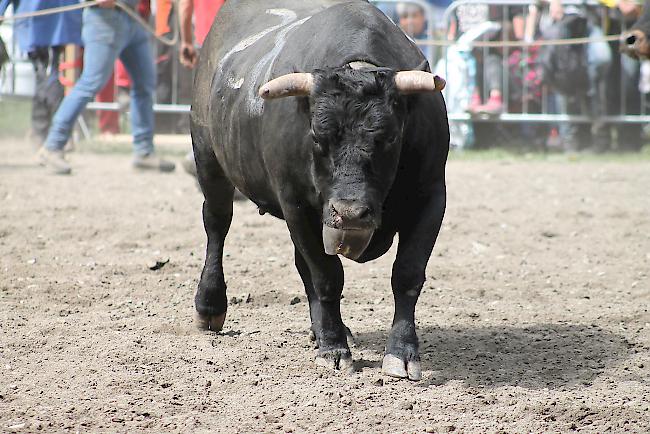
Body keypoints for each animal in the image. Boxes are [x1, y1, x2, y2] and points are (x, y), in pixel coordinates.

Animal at [190, 0, 448, 380]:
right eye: (316, 136)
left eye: (390, 137)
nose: (350, 213)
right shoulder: (295, 203)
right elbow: (327, 277)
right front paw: (334, 349)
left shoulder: (431, 197)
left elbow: (407, 275)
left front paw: (401, 352)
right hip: (209, 162)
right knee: (217, 225)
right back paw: (210, 306)